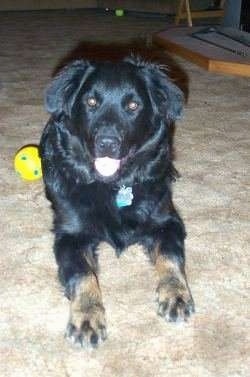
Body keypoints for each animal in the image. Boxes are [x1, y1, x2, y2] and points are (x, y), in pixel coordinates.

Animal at [39, 52, 195, 346]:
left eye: (133, 105)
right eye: (91, 102)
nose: (107, 143)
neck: (113, 186)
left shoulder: (168, 222)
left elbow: (170, 256)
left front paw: (175, 293)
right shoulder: (69, 236)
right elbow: (83, 275)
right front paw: (87, 316)